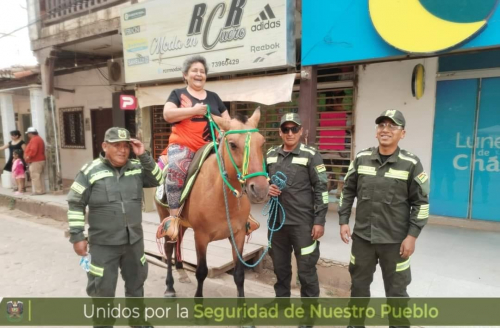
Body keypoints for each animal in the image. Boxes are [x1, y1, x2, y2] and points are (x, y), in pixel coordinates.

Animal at [154, 109, 270, 298]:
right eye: (233, 144)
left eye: (262, 142)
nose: (260, 189)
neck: (222, 198)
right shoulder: (201, 236)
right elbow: (201, 271)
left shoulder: (238, 235)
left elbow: (239, 274)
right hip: (166, 218)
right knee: (169, 248)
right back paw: (170, 286)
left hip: (183, 224)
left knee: (178, 242)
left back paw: (182, 271)